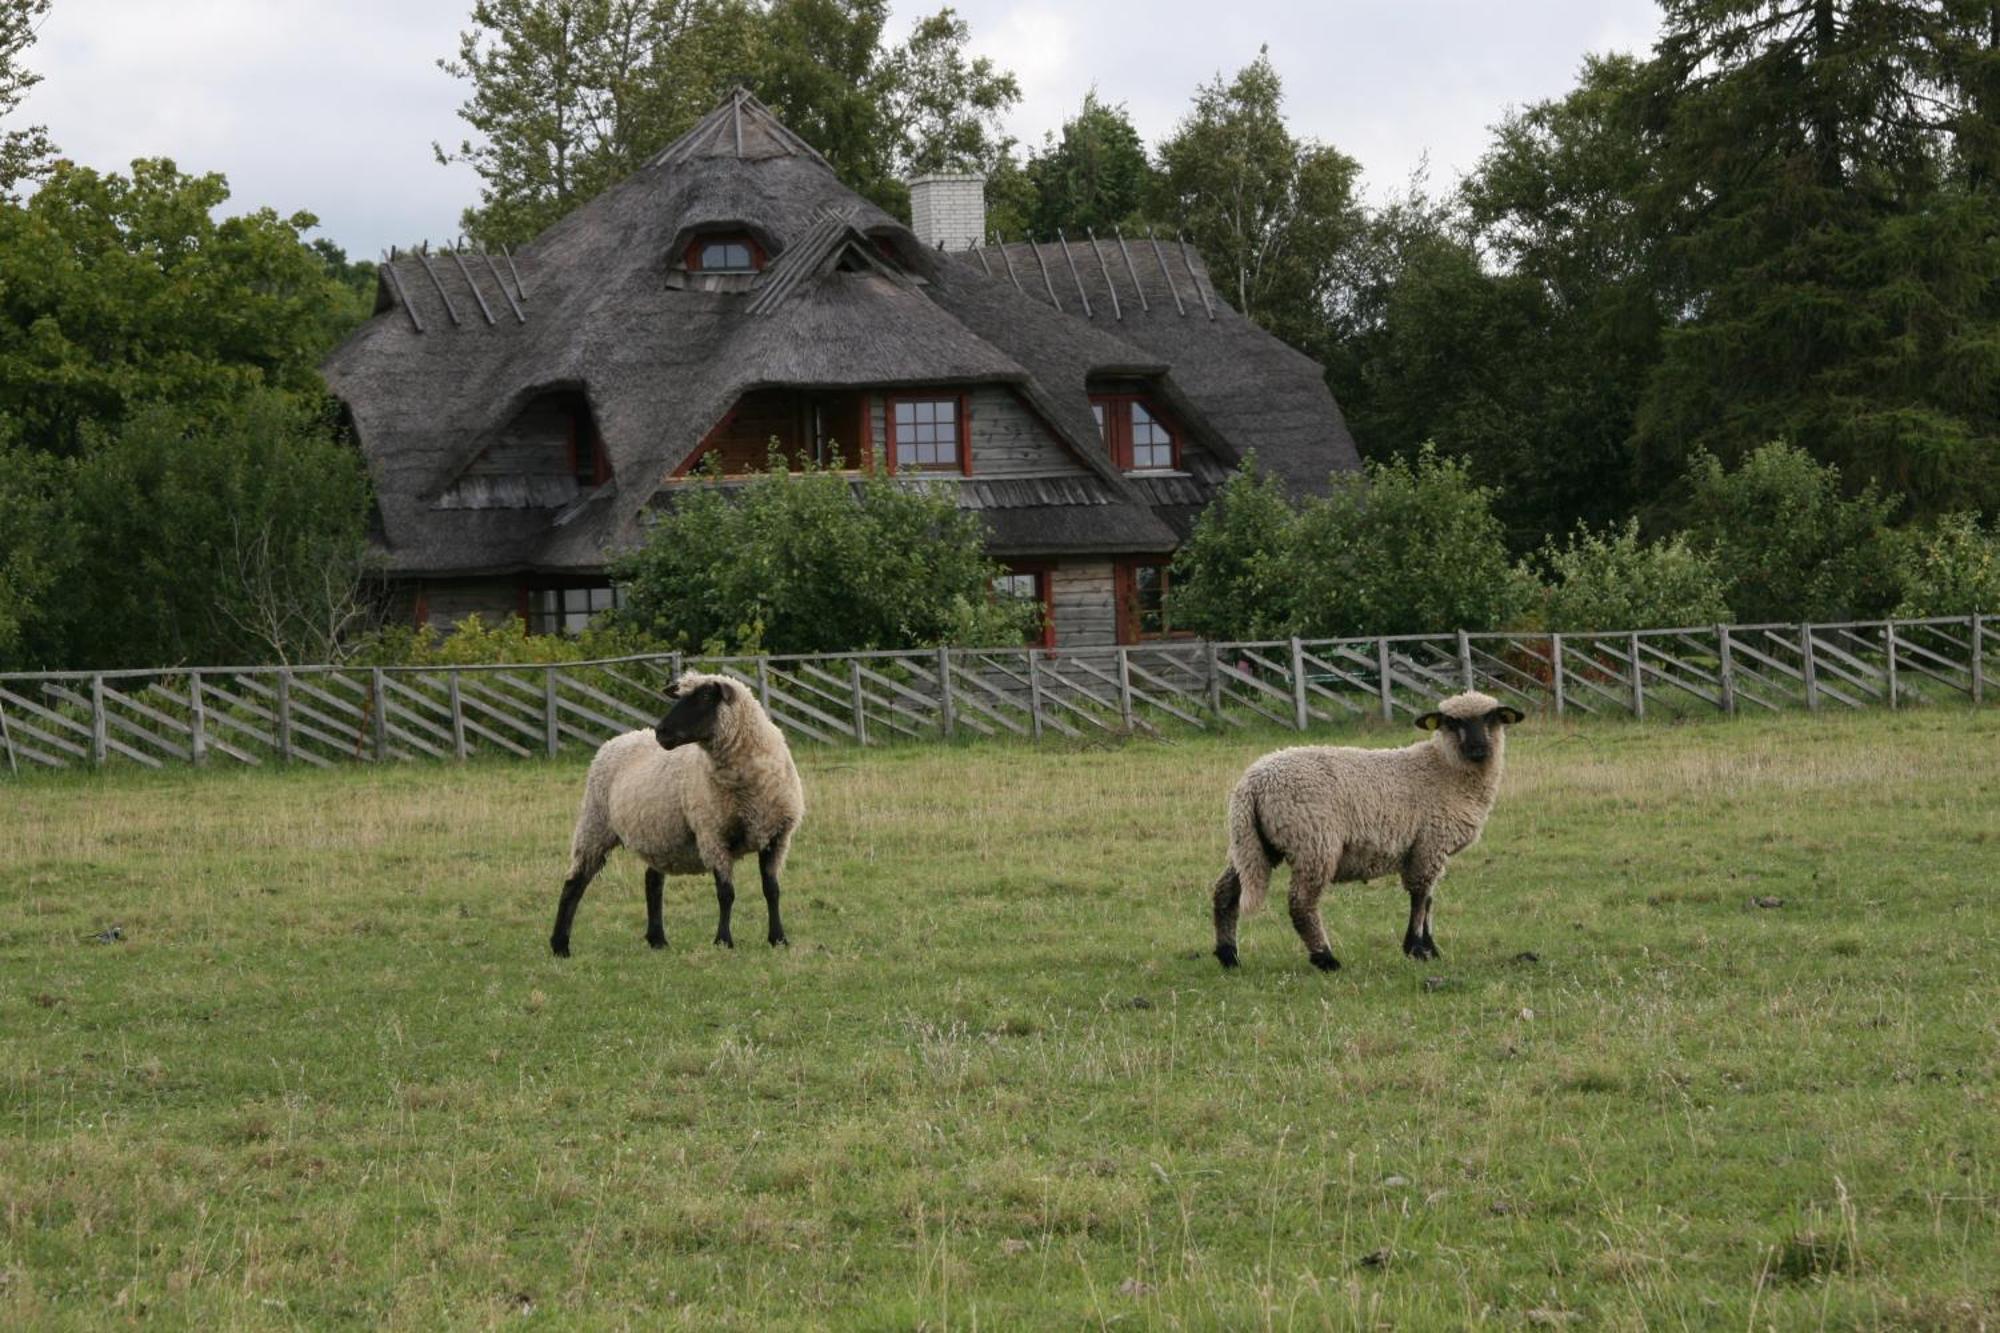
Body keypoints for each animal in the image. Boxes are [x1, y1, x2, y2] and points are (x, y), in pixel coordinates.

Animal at [548, 676, 804, 956]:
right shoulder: (713, 835)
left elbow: (772, 890)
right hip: (595, 823)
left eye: (705, 697)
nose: (661, 732)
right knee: (574, 883)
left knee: (652, 882)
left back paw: (657, 940)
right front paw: (723, 941)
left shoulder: (776, 836)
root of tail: (620, 738)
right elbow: (726, 894)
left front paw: (778, 939)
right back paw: (560, 945)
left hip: (657, 833)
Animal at [1208, 688, 1520, 972]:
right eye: (1452, 723)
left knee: (1225, 892)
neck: (1444, 769)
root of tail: (1252, 782)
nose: (1478, 749)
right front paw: (1416, 949)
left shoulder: (1430, 848)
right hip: (1314, 842)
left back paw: (1229, 956)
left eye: (1491, 718)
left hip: (1252, 844)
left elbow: (1429, 899)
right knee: (1301, 904)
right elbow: (1420, 896)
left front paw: (1430, 949)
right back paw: (1326, 959)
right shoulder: (1430, 842)